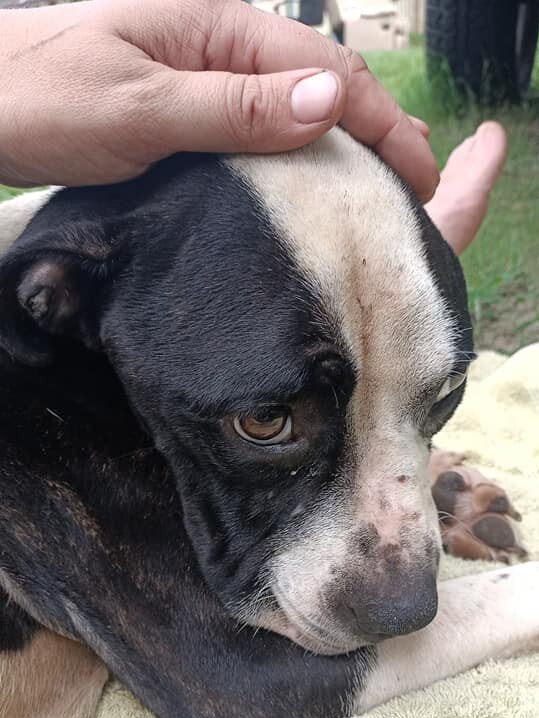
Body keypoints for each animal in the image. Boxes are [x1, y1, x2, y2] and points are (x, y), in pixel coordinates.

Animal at [0, 131, 536, 718]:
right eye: (263, 421)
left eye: (448, 391)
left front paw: (456, 491)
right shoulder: (243, 671)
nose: (404, 613)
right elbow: (507, 595)